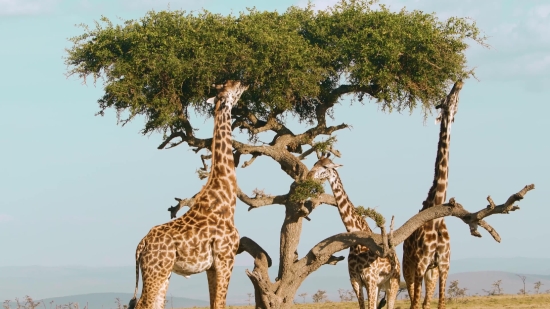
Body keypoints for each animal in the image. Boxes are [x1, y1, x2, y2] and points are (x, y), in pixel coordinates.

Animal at [128, 80, 249, 308]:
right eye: (232, 88)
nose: (243, 82)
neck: (226, 200)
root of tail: (141, 245)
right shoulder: (226, 257)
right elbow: (220, 303)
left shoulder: (212, 266)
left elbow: (213, 303)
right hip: (157, 270)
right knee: (143, 304)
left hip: (162, 272)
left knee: (155, 303)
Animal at [310, 155, 402, 308]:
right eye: (315, 163)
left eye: (326, 167)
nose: (309, 175)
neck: (358, 243)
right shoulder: (355, 279)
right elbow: (363, 306)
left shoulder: (370, 279)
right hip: (379, 285)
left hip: (393, 282)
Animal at [402, 80, 466, 308]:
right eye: (445, 100)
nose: (458, 82)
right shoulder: (421, 263)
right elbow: (414, 304)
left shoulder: (444, 265)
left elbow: (440, 303)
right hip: (408, 266)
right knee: (412, 300)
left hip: (431, 272)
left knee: (424, 302)